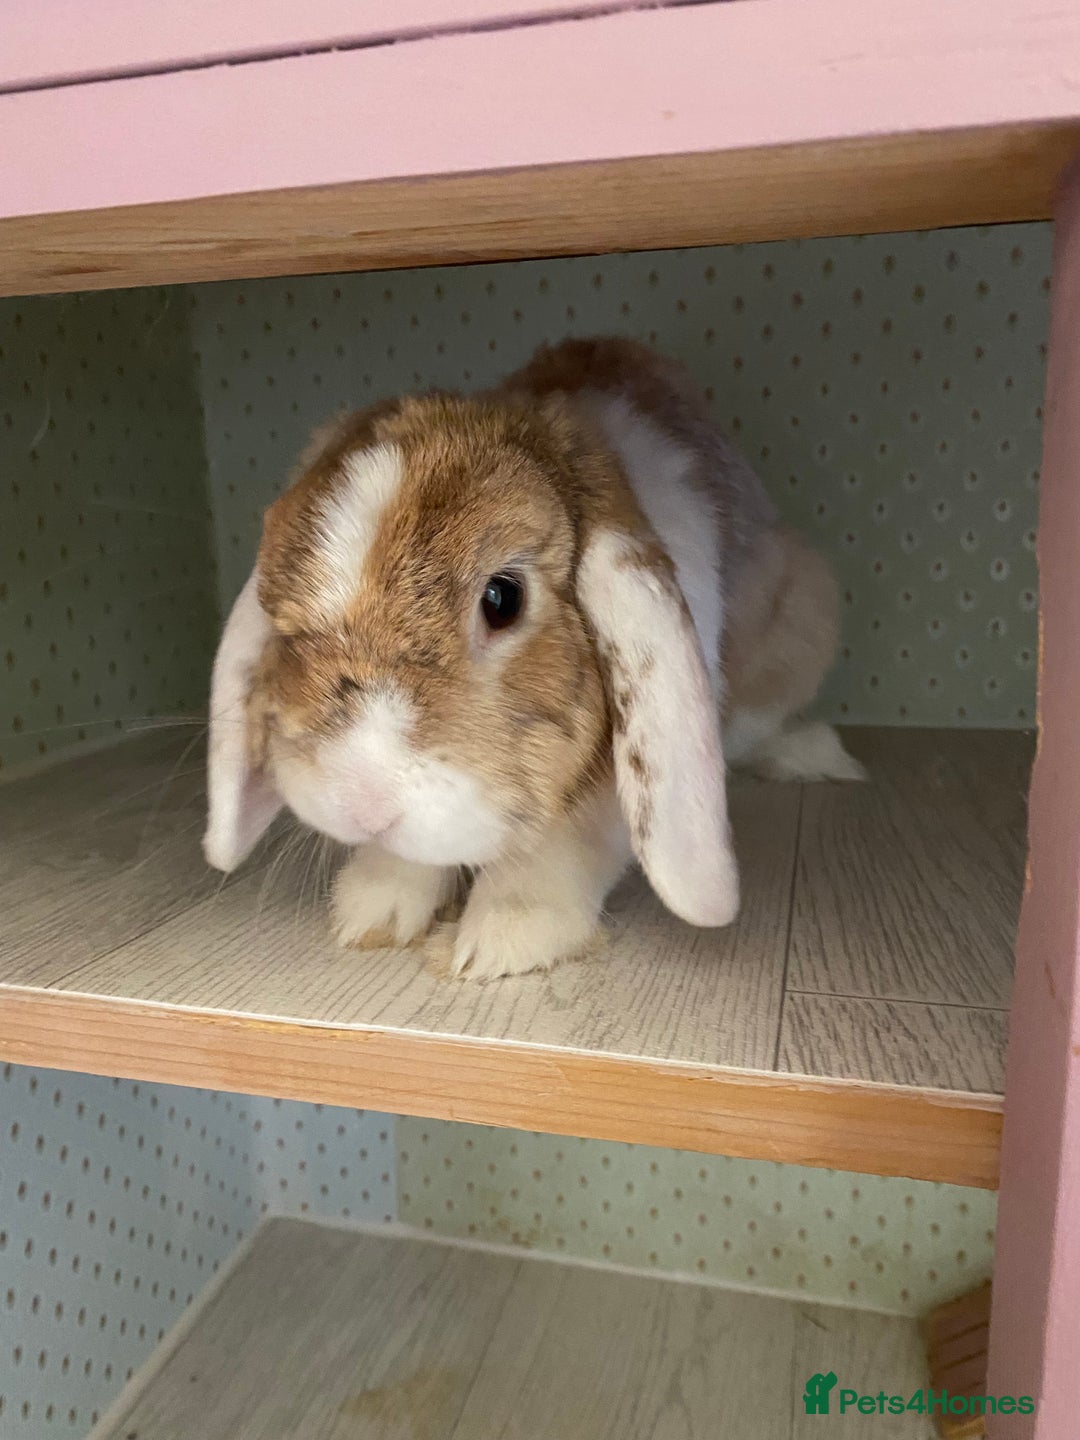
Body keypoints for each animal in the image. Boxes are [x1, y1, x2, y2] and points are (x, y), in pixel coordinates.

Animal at [203, 336, 862, 981]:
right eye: (283, 621)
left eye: (503, 598)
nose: (358, 800)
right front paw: (372, 908)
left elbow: (564, 842)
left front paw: (501, 939)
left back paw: (815, 754)